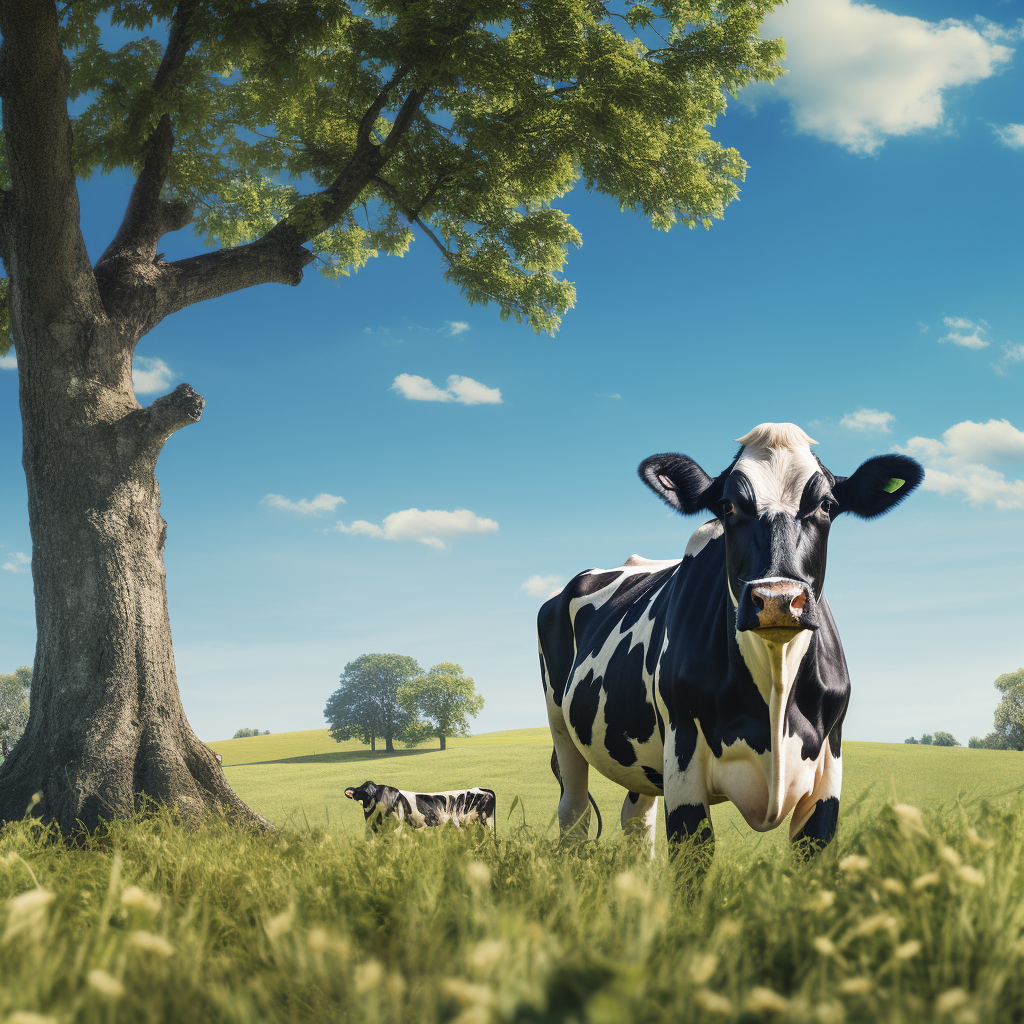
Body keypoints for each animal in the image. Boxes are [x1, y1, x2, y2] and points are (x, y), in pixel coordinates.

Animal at [540, 423, 925, 856]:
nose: (777, 599)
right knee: (574, 814)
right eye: (727, 506)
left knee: (636, 818)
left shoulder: (827, 774)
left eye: (826, 505)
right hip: (561, 726)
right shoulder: (683, 758)